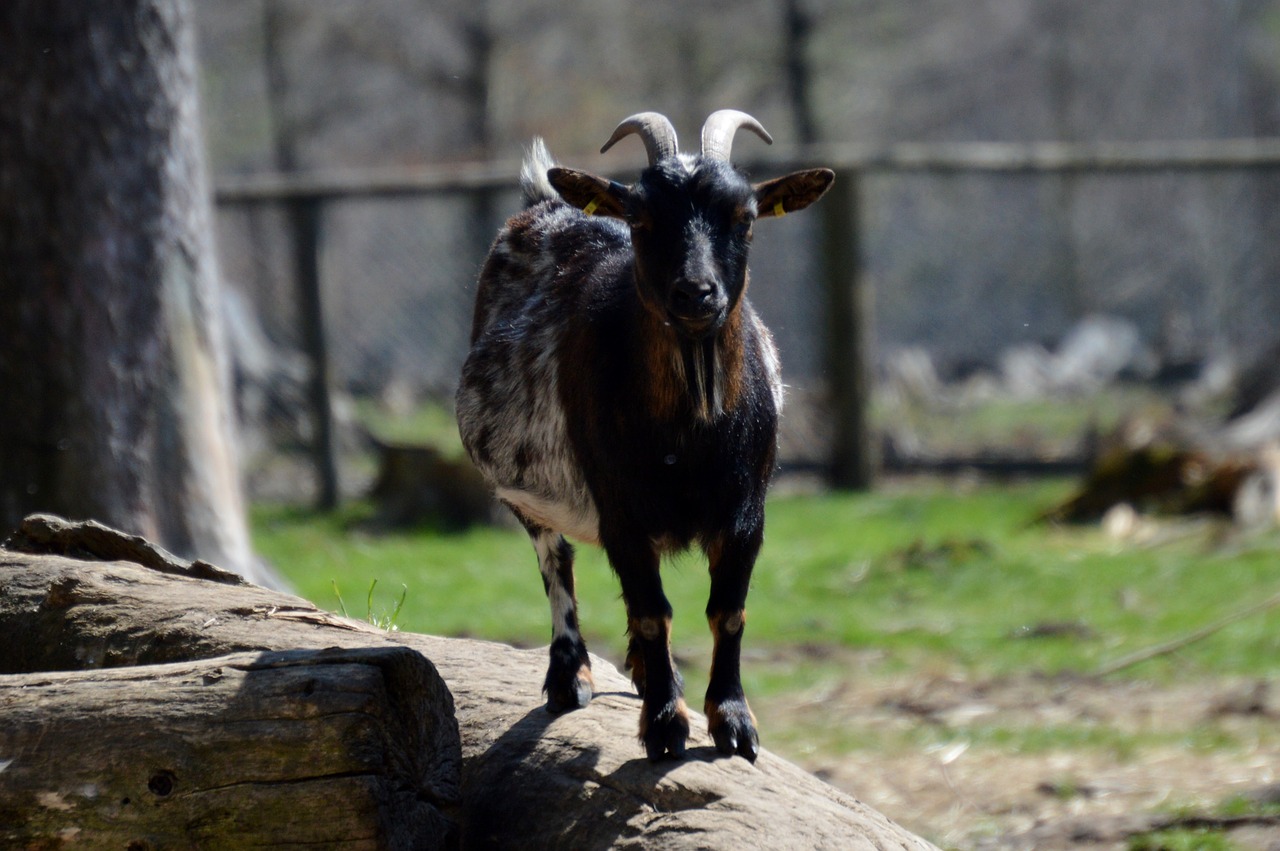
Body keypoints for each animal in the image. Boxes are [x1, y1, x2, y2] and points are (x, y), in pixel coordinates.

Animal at [455, 109, 834, 757]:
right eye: (640, 218)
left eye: (745, 218)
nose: (695, 292)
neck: (691, 437)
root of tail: (543, 201)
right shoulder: (621, 513)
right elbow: (653, 613)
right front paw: (664, 726)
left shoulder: (746, 514)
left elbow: (728, 612)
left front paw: (733, 722)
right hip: (524, 491)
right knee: (555, 561)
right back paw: (570, 677)